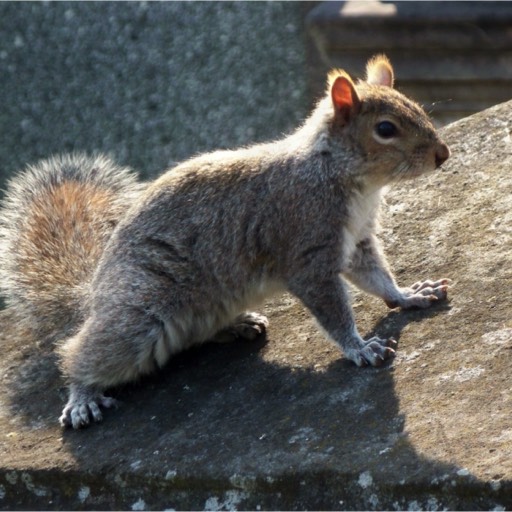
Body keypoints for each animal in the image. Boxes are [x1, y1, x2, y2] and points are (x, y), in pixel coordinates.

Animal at [0, 55, 448, 428]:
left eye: (415, 105)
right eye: (385, 129)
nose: (442, 154)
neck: (339, 174)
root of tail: (94, 292)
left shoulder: (356, 242)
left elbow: (377, 277)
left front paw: (409, 294)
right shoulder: (306, 245)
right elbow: (332, 310)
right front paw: (360, 348)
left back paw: (238, 325)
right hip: (139, 315)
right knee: (82, 352)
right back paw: (83, 396)